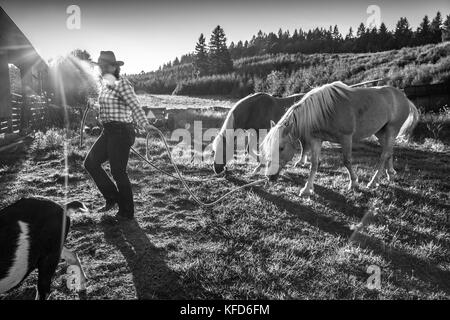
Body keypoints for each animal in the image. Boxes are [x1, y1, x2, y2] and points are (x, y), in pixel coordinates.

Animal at [260, 80, 418, 195]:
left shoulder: (346, 138)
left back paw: (373, 181)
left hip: (392, 129)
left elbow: (347, 161)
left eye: (281, 148)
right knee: (389, 151)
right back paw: (390, 174)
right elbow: (314, 164)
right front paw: (306, 189)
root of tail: (403, 97)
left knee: (384, 154)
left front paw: (354, 183)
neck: (324, 111)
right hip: (380, 132)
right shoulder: (316, 140)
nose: (269, 176)